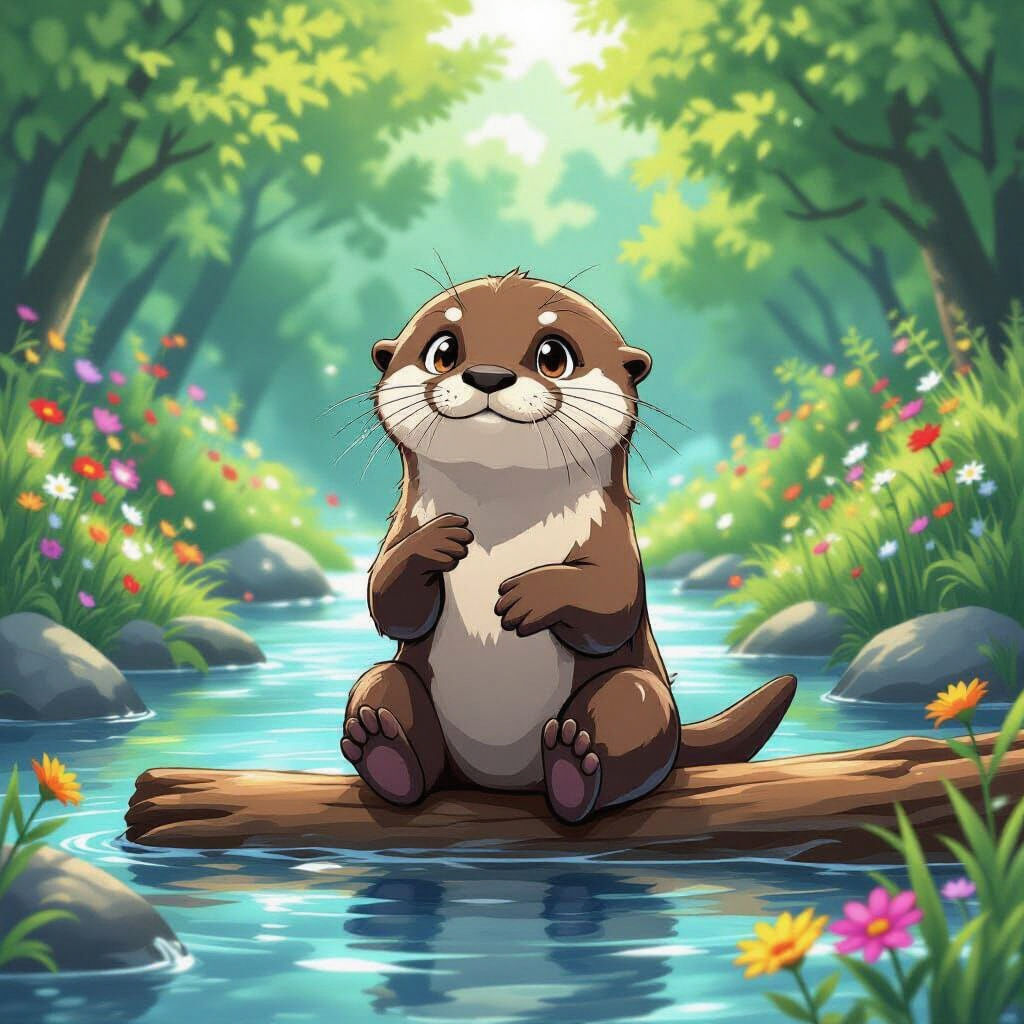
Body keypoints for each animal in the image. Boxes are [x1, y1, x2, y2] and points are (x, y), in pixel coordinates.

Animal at [341, 269, 795, 824]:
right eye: (443, 351)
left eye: (552, 355)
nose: (487, 376)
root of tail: (502, 782)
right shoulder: (402, 526)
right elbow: (389, 603)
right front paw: (437, 542)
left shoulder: (613, 538)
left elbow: (612, 601)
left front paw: (528, 596)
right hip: (400, 690)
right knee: (384, 686)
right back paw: (383, 748)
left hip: (638, 695)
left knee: (632, 713)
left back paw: (575, 767)